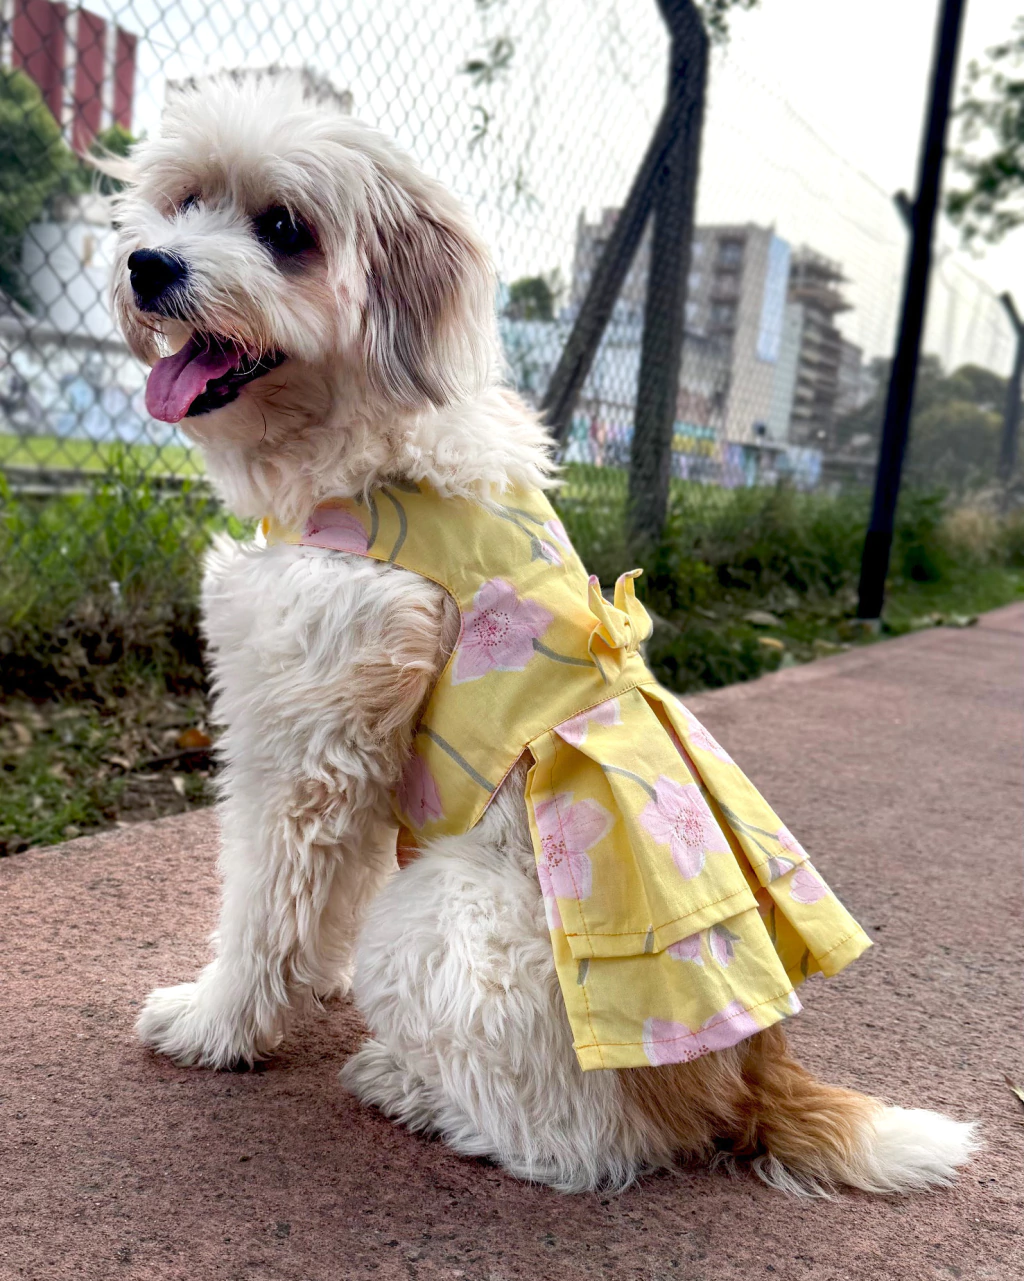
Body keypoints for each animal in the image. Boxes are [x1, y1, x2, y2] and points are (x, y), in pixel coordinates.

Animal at [110, 73, 978, 1195]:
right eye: (180, 202)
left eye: (285, 229)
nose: (148, 263)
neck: (366, 451)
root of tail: (757, 1074)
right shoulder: (361, 754)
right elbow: (322, 899)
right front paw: (308, 986)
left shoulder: (304, 744)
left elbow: (266, 907)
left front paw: (215, 1025)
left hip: (444, 912)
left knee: (585, 1147)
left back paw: (406, 1084)